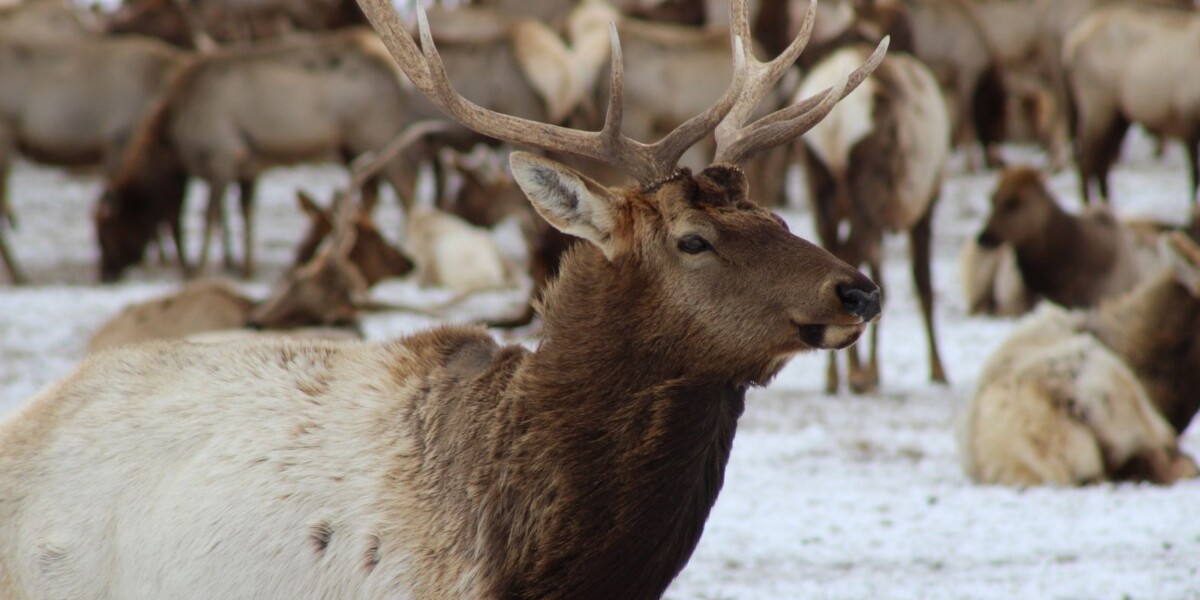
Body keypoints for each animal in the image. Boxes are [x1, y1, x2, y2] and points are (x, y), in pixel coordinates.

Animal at [796, 43, 951, 394]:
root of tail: (835, 125)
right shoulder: (926, 202)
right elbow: (923, 282)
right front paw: (938, 370)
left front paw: (875, 370)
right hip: (868, 192)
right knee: (851, 260)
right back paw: (854, 374)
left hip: (819, 187)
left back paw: (835, 376)